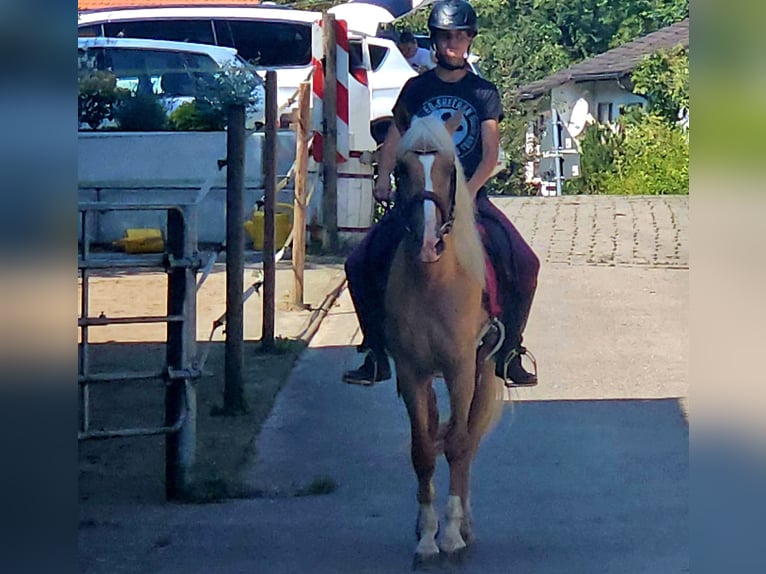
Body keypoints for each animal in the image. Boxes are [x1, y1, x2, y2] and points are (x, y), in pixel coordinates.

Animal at [388, 115, 508, 568]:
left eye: (448, 170)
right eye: (402, 169)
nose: (428, 243)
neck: (434, 280)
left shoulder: (461, 370)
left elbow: (458, 445)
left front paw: (452, 534)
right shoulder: (411, 371)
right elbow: (423, 450)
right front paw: (426, 536)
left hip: (484, 368)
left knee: (468, 441)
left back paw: (466, 526)